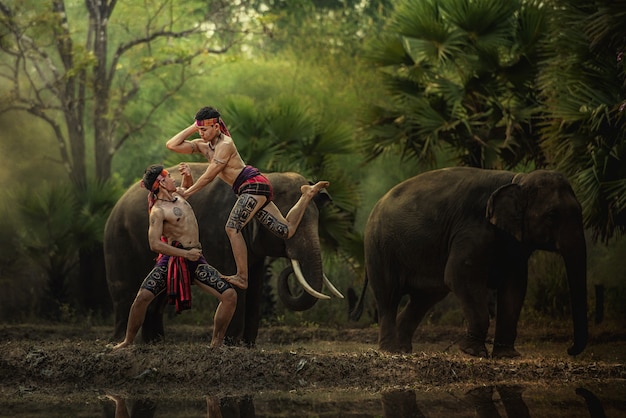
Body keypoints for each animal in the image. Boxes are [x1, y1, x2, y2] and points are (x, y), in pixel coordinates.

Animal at [356, 167, 584, 360]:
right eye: (552, 215)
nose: (570, 349)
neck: (517, 179)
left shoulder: (515, 245)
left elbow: (515, 286)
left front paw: (507, 356)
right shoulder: (472, 228)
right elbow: (458, 275)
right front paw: (473, 352)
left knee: (425, 298)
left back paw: (403, 350)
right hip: (379, 247)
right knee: (389, 295)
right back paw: (390, 350)